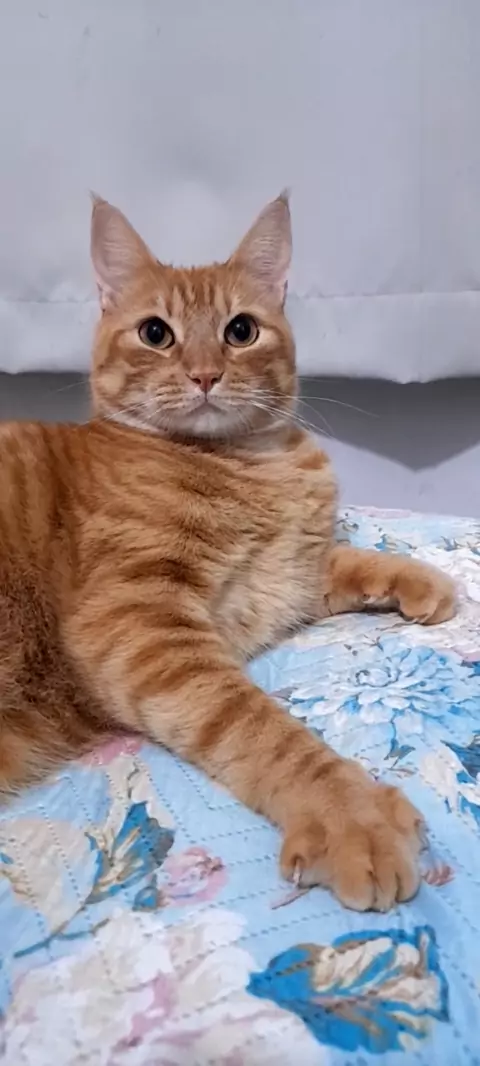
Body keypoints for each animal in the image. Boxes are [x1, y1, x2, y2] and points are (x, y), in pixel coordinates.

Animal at [0, 193, 455, 911]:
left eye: (241, 330)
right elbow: (254, 724)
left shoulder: (282, 577)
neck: (254, 462)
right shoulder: (137, 623)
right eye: (155, 333)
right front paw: (349, 812)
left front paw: (417, 579)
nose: (206, 373)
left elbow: (340, 558)